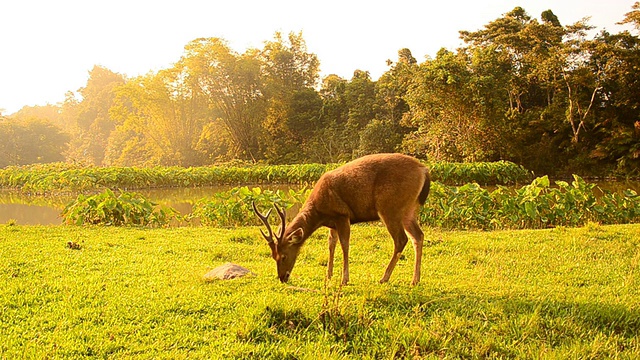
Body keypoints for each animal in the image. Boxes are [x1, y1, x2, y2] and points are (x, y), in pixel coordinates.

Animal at [254, 153, 430, 286]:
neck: (319, 213)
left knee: (401, 239)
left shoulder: (342, 214)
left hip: (390, 207)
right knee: (418, 235)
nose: (282, 277)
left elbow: (345, 244)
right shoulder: (332, 222)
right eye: (273, 256)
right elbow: (331, 244)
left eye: (283, 256)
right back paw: (415, 280)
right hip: (409, 209)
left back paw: (384, 277)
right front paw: (329, 275)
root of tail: (424, 170)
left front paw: (344, 279)